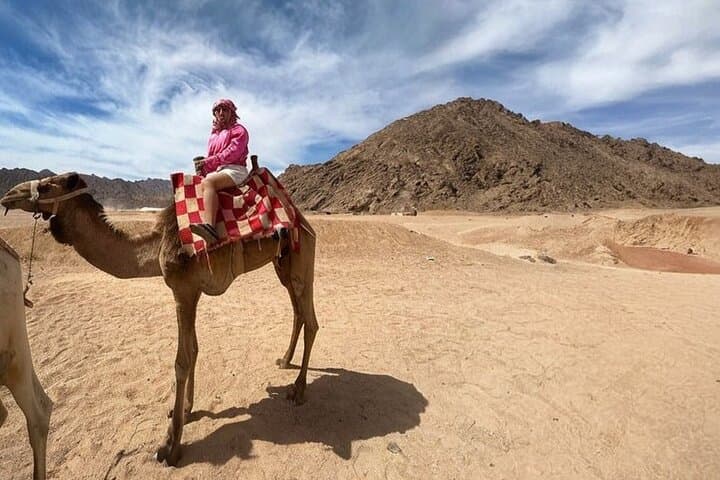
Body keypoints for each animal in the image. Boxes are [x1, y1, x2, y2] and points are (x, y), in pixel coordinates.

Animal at [0, 171, 319, 466]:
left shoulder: (184, 289)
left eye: (45, 186)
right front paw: (186, 410)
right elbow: (194, 349)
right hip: (283, 262)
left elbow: (183, 359)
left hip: (302, 255)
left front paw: (170, 446)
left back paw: (299, 390)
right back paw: (285, 360)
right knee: (298, 311)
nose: (8, 195)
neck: (157, 247)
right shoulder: (189, 291)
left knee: (311, 320)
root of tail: (303, 220)